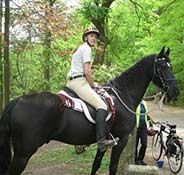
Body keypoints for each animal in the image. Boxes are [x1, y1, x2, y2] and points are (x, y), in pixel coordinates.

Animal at [0, 46, 179, 175]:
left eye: (170, 66)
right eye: (161, 67)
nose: (175, 91)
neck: (123, 93)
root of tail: (16, 101)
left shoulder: (104, 142)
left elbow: (96, 165)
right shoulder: (121, 140)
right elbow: (112, 167)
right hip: (23, 154)